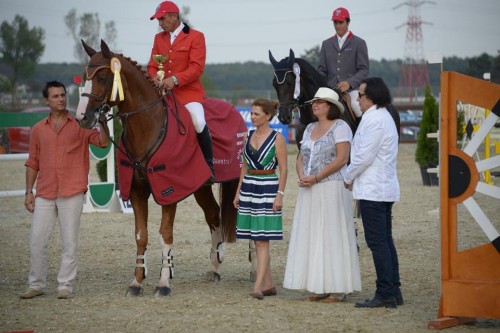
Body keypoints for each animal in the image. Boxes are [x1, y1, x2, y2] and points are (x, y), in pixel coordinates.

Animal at [76, 39, 242, 296]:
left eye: (102, 77)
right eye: (85, 76)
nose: (82, 118)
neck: (148, 126)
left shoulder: (169, 192)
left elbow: (165, 234)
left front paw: (163, 283)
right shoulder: (136, 192)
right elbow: (140, 235)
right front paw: (137, 282)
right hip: (200, 187)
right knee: (213, 214)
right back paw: (214, 267)